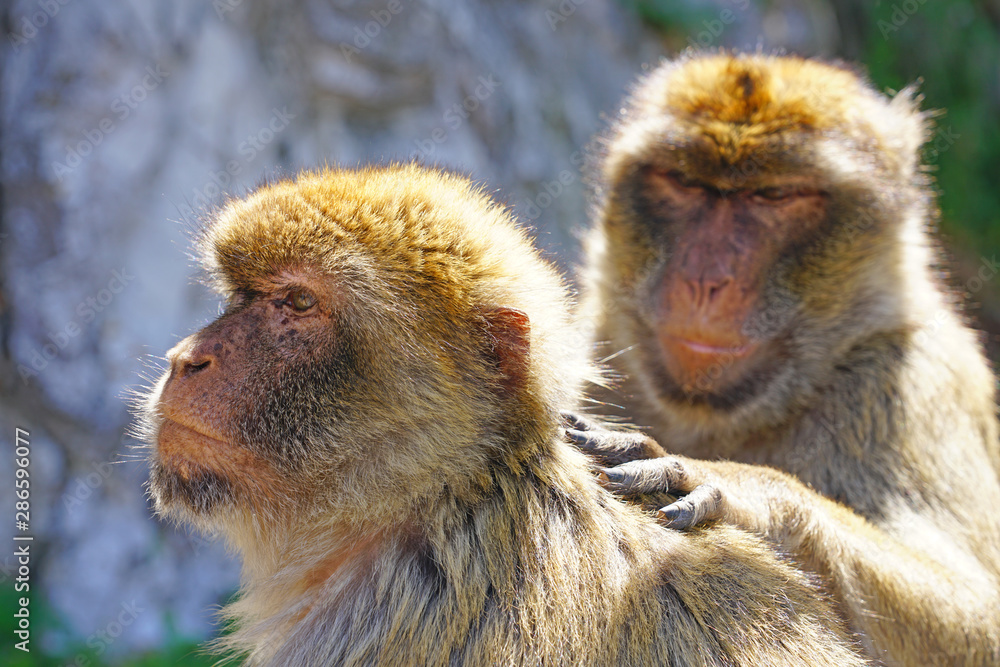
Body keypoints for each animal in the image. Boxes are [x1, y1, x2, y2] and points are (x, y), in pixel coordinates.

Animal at [568, 52, 1000, 666]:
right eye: (685, 184)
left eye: (772, 197)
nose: (705, 279)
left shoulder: (908, 385)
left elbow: (983, 620)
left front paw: (744, 488)